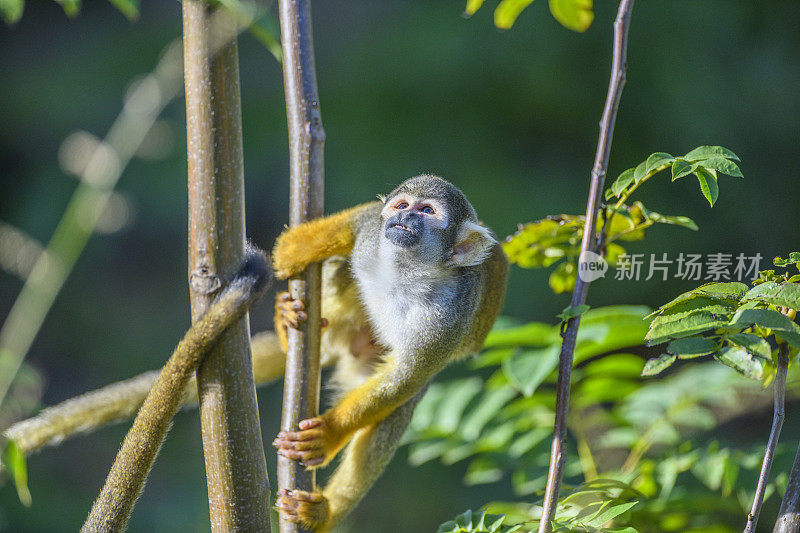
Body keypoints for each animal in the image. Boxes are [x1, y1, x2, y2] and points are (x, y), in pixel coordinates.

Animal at [268, 174, 506, 528]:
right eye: (402, 205)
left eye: (427, 210)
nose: (404, 216)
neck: (407, 273)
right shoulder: (372, 240)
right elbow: (357, 223)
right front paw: (299, 246)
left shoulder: (450, 317)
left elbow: (407, 374)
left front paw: (328, 434)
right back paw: (290, 327)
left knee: (396, 408)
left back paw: (324, 514)